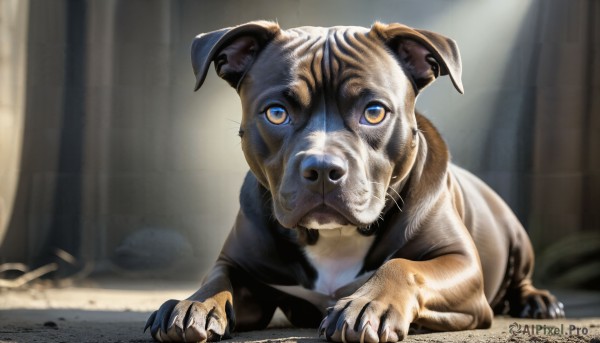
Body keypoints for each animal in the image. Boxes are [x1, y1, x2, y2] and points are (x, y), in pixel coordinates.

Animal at [144, 22, 564, 343]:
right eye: (276, 113)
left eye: (374, 112)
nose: (322, 168)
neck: (334, 238)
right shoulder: (240, 264)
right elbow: (218, 276)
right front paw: (192, 304)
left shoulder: (462, 264)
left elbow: (404, 265)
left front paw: (368, 305)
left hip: (516, 234)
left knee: (523, 277)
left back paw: (540, 302)